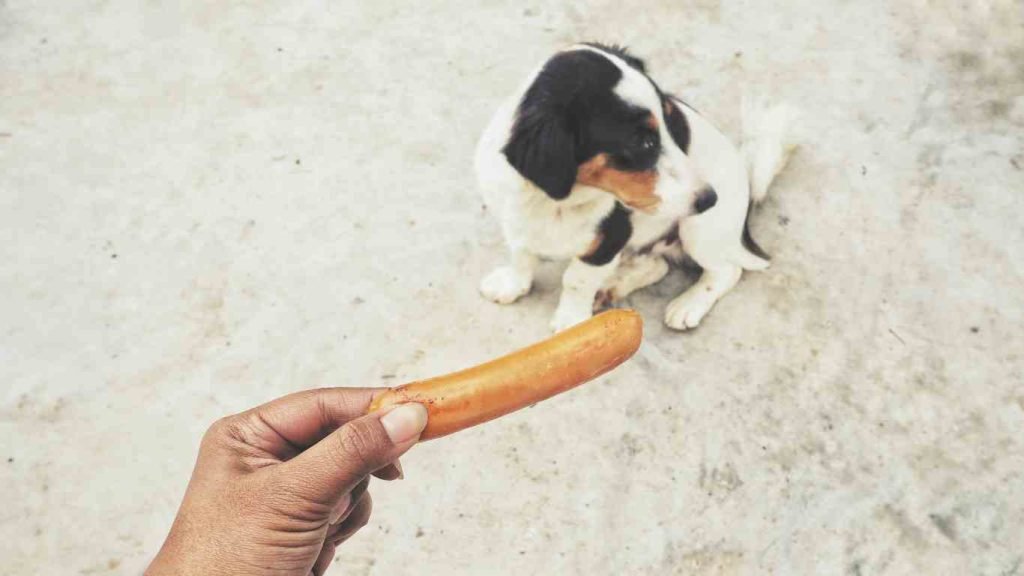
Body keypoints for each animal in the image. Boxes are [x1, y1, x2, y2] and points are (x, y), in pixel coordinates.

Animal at [475, 43, 794, 332]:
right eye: (643, 142)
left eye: (671, 124)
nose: (709, 199)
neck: (554, 202)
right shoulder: (515, 222)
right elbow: (521, 256)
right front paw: (512, 285)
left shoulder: (610, 238)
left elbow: (576, 280)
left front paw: (571, 324)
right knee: (658, 266)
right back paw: (614, 286)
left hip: (698, 231)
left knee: (728, 270)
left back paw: (687, 305)